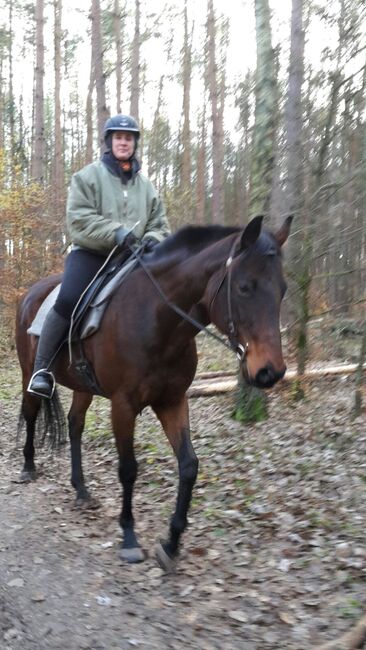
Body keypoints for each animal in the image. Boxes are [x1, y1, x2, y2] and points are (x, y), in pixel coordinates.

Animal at [16, 215, 292, 568]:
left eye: (283, 290)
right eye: (244, 287)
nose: (271, 371)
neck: (158, 318)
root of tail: (32, 293)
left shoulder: (172, 401)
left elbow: (189, 466)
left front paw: (172, 542)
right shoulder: (123, 406)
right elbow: (128, 469)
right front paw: (130, 538)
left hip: (82, 386)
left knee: (75, 423)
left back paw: (81, 490)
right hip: (29, 373)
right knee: (31, 412)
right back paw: (28, 468)